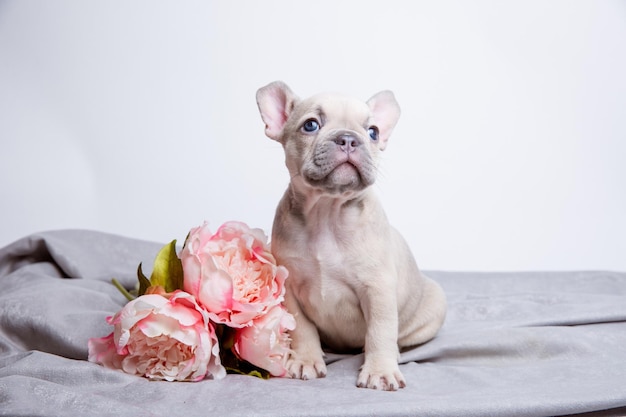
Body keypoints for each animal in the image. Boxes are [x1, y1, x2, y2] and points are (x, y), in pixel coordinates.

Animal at [255, 80, 444, 390]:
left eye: (373, 132)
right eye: (310, 125)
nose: (348, 139)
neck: (327, 212)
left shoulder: (378, 290)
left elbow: (380, 331)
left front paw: (380, 370)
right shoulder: (291, 290)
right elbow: (302, 328)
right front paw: (306, 359)